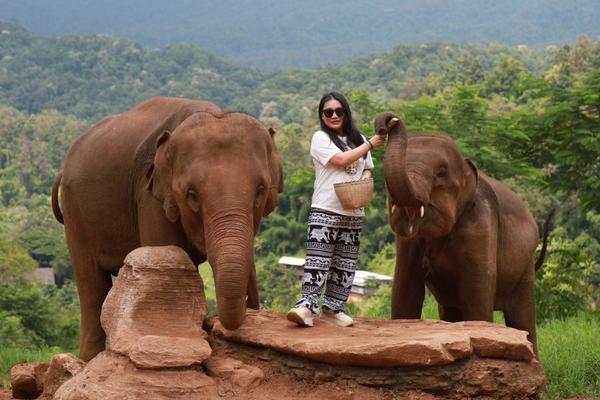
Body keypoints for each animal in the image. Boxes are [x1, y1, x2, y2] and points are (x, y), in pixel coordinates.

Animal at [52, 97, 284, 362]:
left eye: (260, 190)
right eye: (192, 194)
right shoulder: (149, 196)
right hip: (76, 212)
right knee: (92, 286)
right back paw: (88, 360)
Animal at [376, 111, 548, 352]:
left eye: (441, 173)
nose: (388, 123)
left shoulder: (481, 225)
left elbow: (477, 293)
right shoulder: (407, 243)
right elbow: (405, 289)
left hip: (525, 266)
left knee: (522, 317)